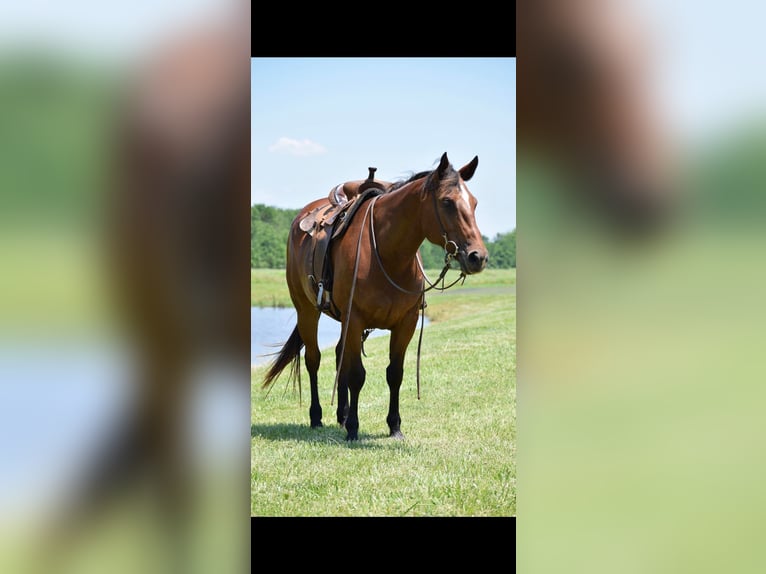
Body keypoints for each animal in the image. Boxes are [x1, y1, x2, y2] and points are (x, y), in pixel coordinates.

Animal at [264, 152, 488, 440]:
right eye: (447, 202)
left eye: (474, 202)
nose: (477, 257)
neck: (387, 252)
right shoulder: (356, 318)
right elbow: (357, 375)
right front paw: (353, 429)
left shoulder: (405, 323)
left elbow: (394, 373)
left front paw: (394, 426)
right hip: (307, 311)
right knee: (313, 360)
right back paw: (317, 417)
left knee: (340, 357)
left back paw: (341, 414)